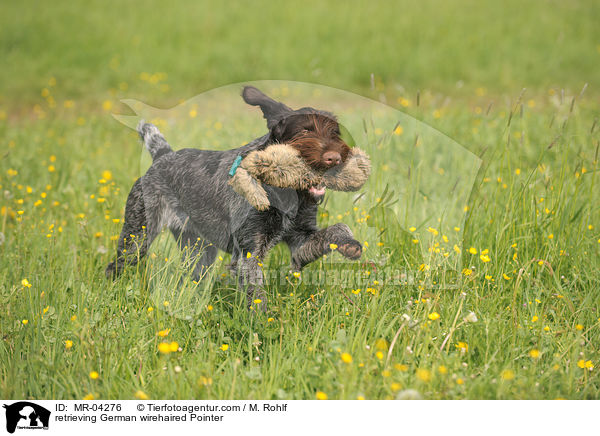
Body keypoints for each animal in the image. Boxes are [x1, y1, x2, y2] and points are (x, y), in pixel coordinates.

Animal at [105, 86, 364, 310]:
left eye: (334, 132)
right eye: (304, 131)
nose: (335, 157)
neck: (283, 192)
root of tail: (162, 156)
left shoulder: (301, 239)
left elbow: (337, 229)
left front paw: (350, 245)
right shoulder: (249, 253)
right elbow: (257, 296)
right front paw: (262, 327)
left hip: (197, 251)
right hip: (137, 238)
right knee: (115, 267)